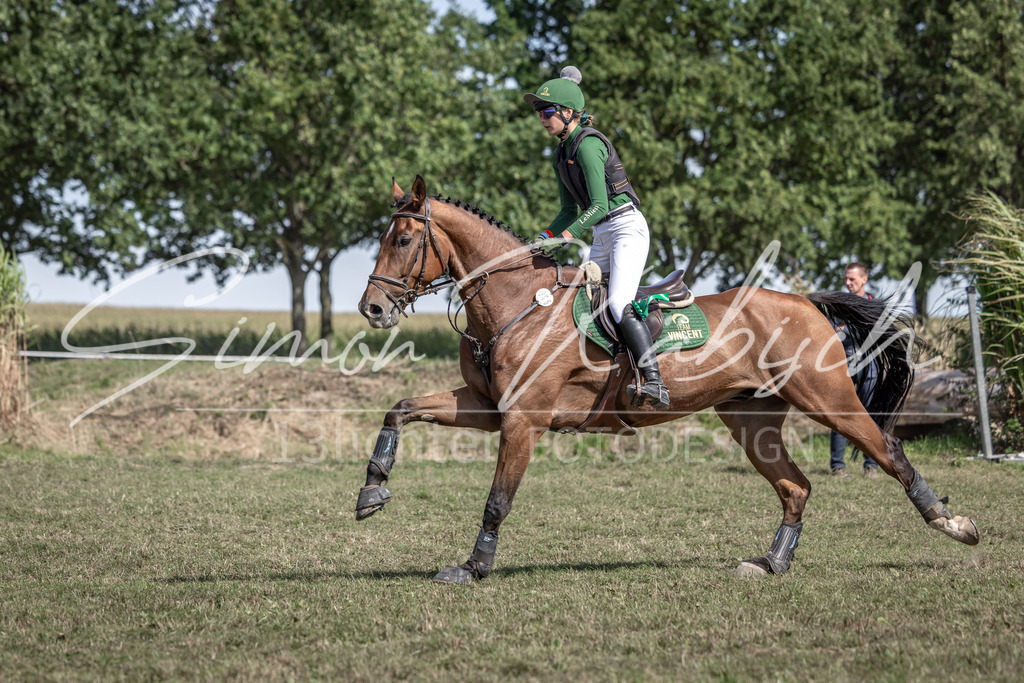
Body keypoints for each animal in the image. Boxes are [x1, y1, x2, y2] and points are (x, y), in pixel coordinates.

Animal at [356, 175, 979, 584]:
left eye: (403, 241)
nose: (372, 309)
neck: (516, 303)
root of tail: (806, 302)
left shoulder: (523, 421)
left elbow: (496, 501)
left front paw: (473, 568)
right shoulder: (487, 408)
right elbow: (400, 407)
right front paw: (372, 490)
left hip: (828, 400)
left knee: (890, 451)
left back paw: (954, 524)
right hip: (750, 420)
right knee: (795, 487)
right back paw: (771, 563)